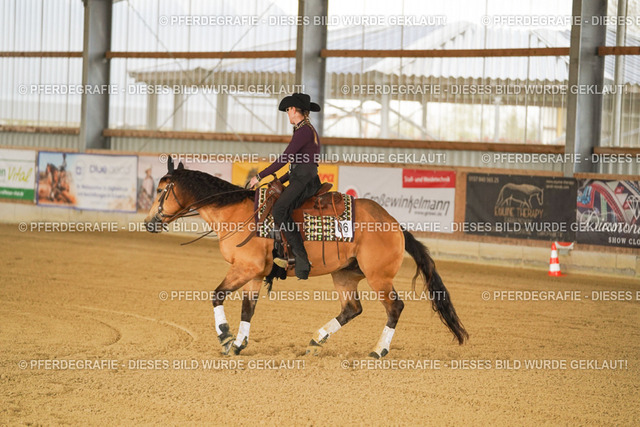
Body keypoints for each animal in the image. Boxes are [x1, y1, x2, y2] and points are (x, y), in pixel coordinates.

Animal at [144, 160, 468, 358]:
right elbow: (248, 310)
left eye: (160, 190)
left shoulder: (245, 268)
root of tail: (395, 224)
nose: (149, 224)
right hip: (345, 274)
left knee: (394, 308)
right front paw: (238, 344)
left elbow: (216, 295)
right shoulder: (255, 274)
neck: (236, 213)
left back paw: (378, 351)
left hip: (379, 277)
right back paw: (316, 340)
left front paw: (225, 337)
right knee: (352, 308)